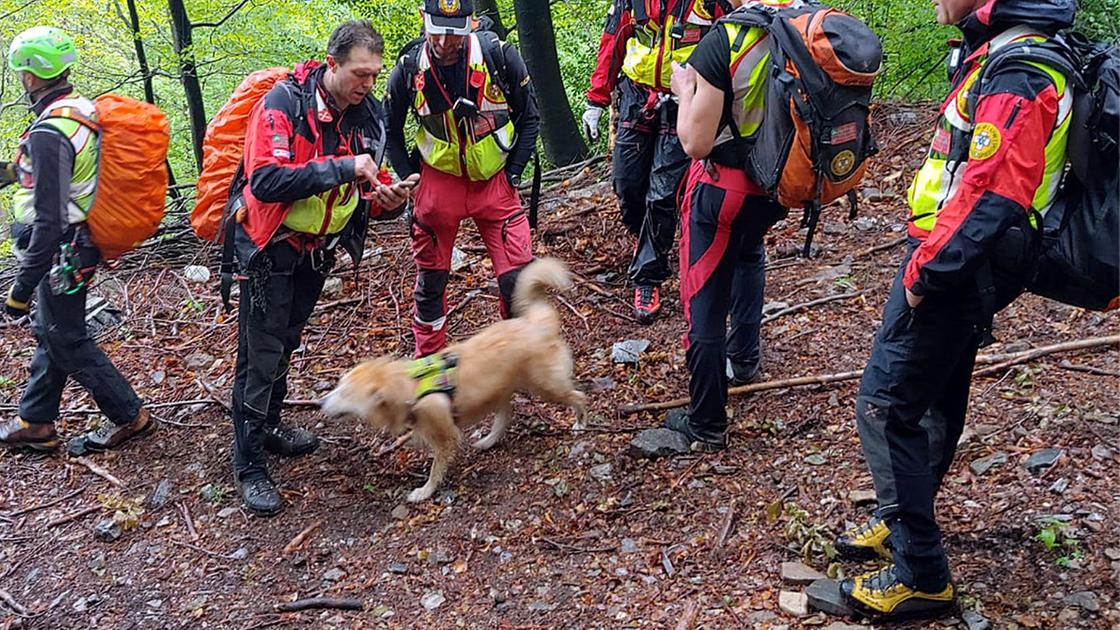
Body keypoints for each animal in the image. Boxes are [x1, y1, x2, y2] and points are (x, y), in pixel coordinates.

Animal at [320, 255, 586, 499]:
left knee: (578, 396)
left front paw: (424, 492)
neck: (410, 386)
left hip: (546, 386)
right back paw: (489, 440)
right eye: (338, 386)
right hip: (502, 389)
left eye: (345, 393)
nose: (320, 403)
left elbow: (436, 469)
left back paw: (580, 424)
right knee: (506, 414)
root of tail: (537, 324)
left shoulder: (445, 435)